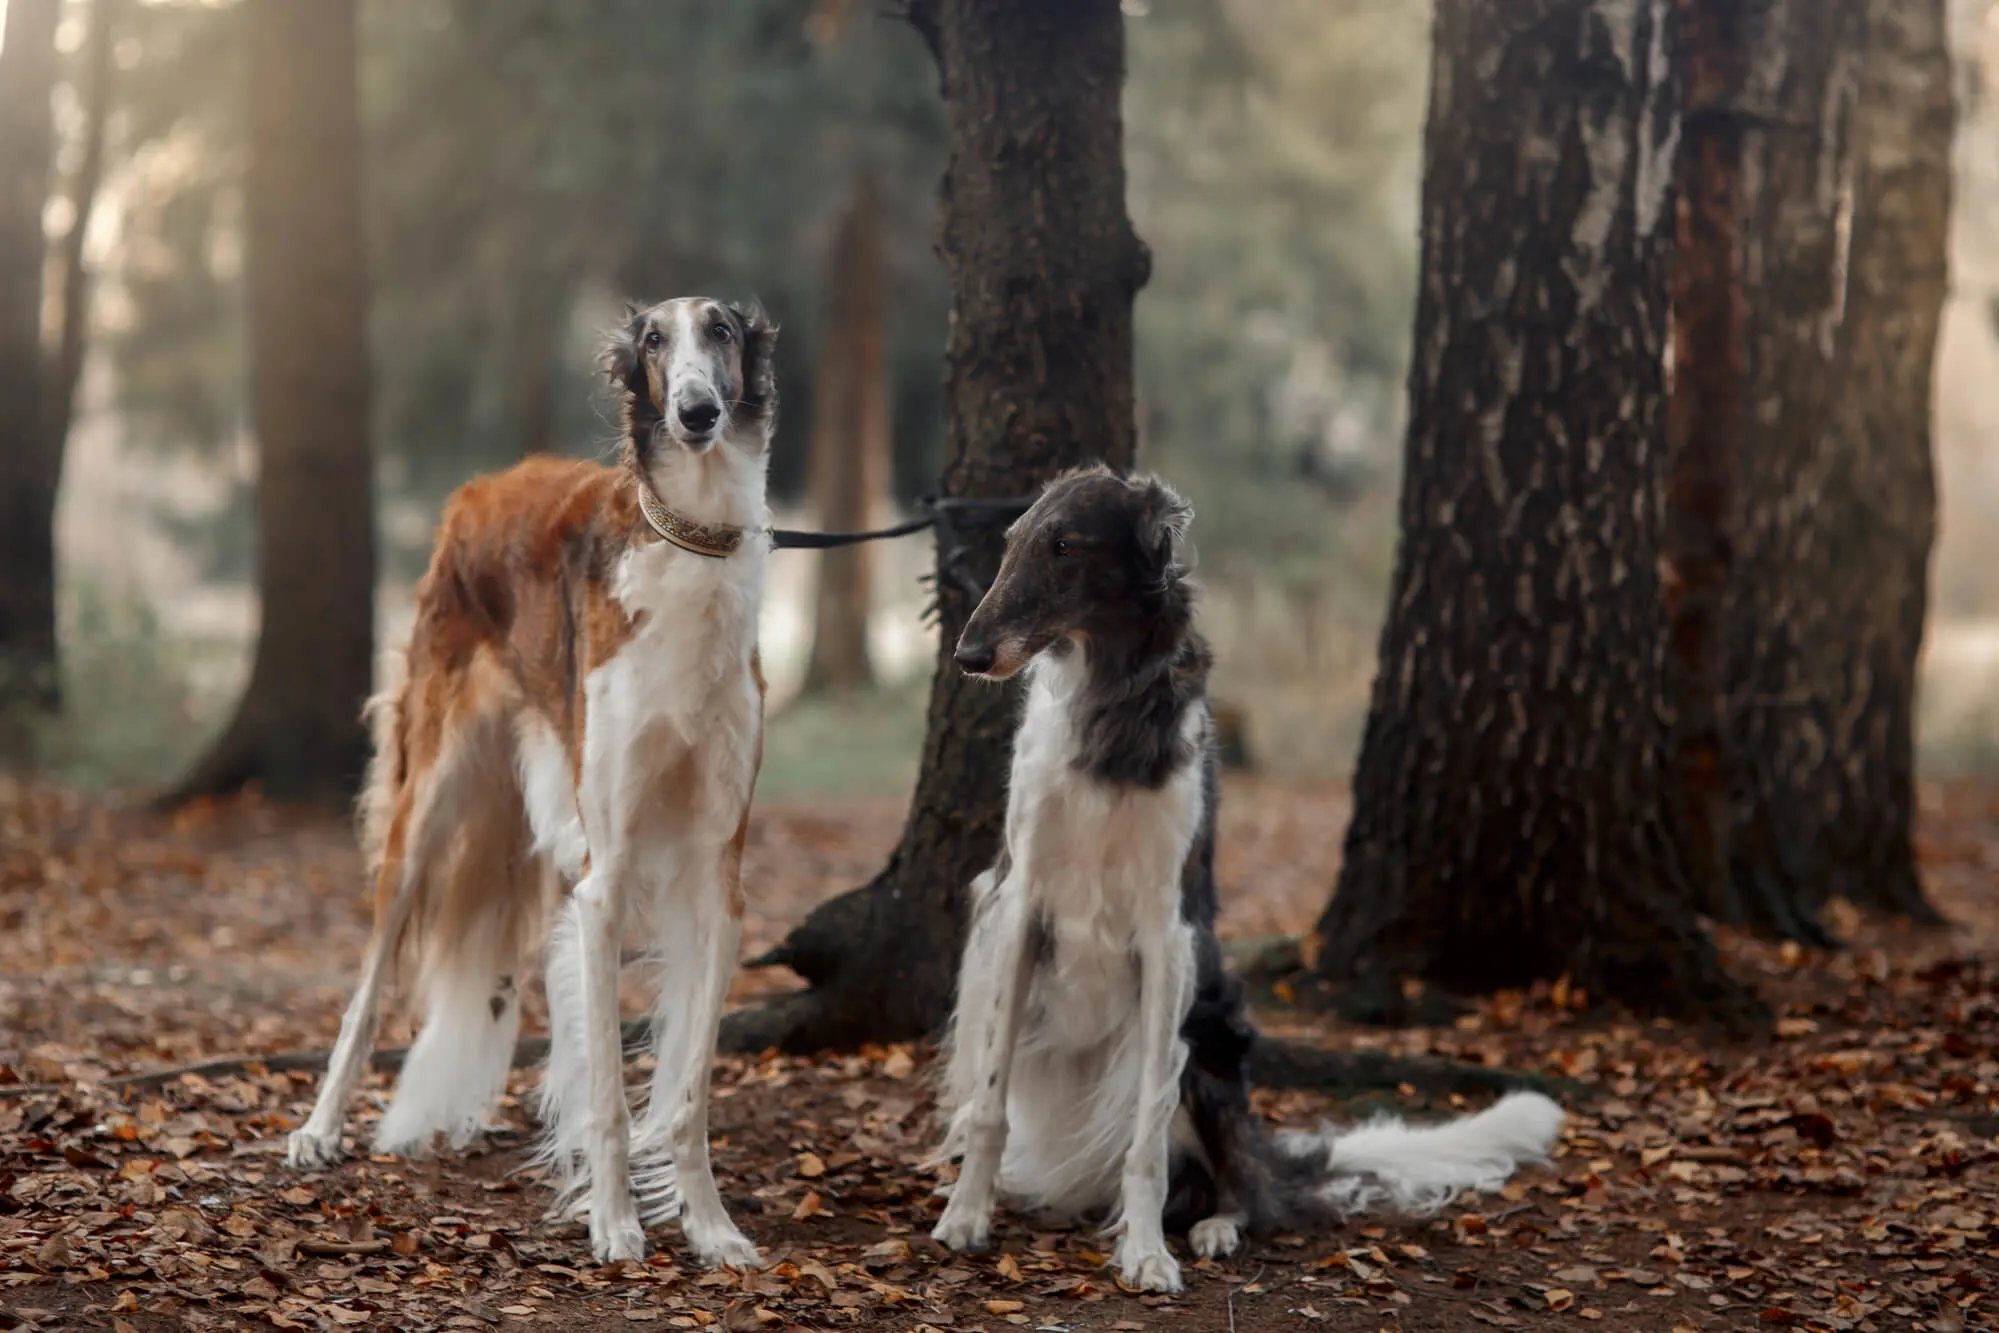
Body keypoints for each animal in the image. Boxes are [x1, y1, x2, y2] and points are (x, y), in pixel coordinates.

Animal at [285, 297, 775, 1271]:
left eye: (723, 333)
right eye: (654, 342)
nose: (696, 411)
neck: (689, 543)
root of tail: (478, 489)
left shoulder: (716, 877)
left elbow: (688, 1091)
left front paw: (710, 1227)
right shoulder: (609, 874)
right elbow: (618, 1096)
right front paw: (616, 1223)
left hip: (545, 830)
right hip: (426, 810)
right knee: (365, 990)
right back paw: (320, 1128)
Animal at [927, 467, 1567, 1295]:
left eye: (1064, 545)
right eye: (1010, 543)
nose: (967, 655)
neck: (1109, 702)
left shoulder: (1168, 934)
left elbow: (1144, 1142)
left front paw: (1145, 1254)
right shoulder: (1017, 906)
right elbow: (989, 1102)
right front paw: (966, 1214)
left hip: (1211, 1039)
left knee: (1231, 1185)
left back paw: (1212, 1226)